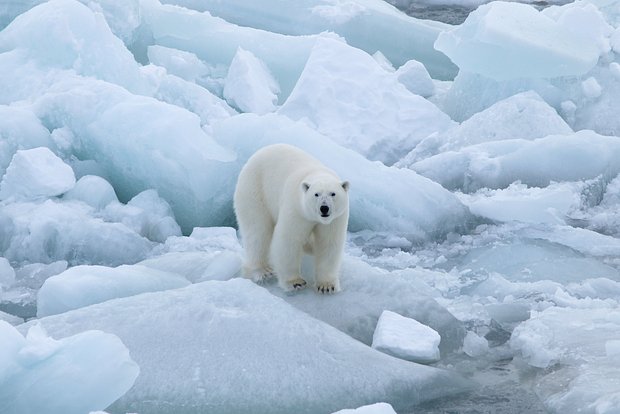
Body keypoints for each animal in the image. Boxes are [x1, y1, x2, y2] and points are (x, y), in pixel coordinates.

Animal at [234, 144, 348, 292]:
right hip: (254, 191)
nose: (324, 208)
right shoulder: (296, 210)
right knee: (258, 232)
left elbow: (328, 244)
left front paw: (326, 286)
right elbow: (288, 241)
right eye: (316, 194)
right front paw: (295, 282)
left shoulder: (335, 220)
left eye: (333, 194)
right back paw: (261, 270)